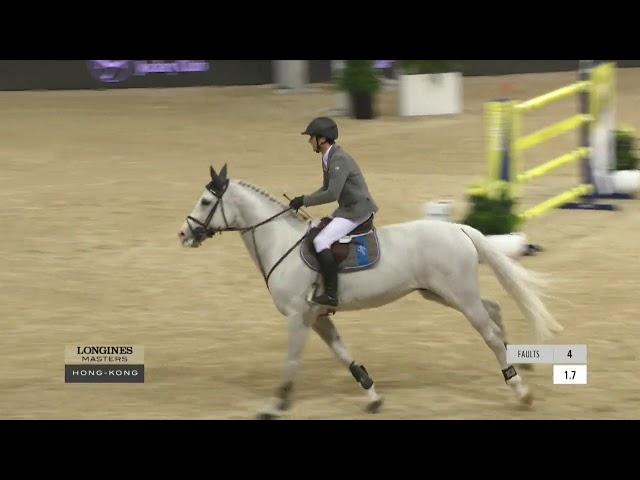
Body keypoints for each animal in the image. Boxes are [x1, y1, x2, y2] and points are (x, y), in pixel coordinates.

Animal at [178, 164, 564, 416]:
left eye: (204, 202)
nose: (184, 234)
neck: (279, 241)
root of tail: (459, 228)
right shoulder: (318, 316)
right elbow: (343, 354)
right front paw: (373, 396)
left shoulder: (298, 317)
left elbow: (291, 361)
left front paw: (276, 403)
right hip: (443, 293)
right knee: (495, 309)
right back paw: (517, 363)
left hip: (460, 296)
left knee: (490, 333)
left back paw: (521, 390)